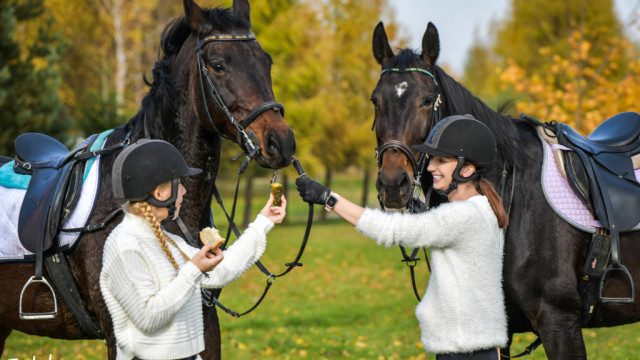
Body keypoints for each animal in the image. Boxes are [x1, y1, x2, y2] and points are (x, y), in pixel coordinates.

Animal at [368, 23, 640, 360]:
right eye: (375, 100)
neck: (516, 198)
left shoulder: (559, 321)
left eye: (428, 100)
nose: (393, 184)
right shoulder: (500, 331)